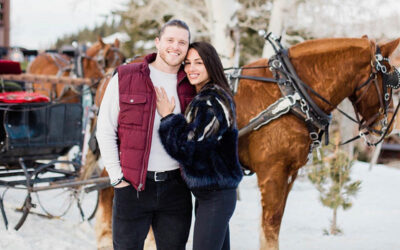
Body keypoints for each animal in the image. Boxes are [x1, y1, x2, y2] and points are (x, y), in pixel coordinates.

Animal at [234, 36, 400, 249]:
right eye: (389, 81)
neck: (291, 94)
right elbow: (271, 228)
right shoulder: (272, 172)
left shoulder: (290, 173)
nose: (391, 125)